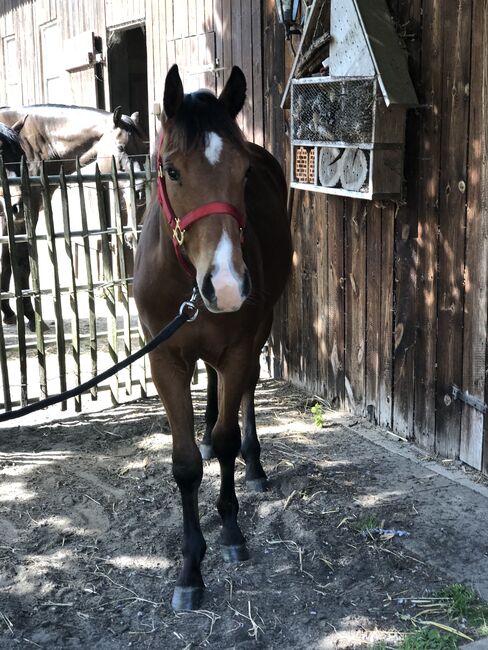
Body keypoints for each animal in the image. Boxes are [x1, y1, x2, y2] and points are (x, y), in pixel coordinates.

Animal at [0, 105, 148, 330]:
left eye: (143, 147)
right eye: (121, 147)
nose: (139, 192)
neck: (37, 143)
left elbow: (7, 260)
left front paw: (8, 312)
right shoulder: (24, 214)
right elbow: (21, 261)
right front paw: (31, 316)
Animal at [133, 64, 292, 608]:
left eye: (243, 174)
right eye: (172, 170)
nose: (224, 285)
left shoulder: (239, 348)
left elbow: (226, 440)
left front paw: (231, 532)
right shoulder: (165, 361)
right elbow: (184, 465)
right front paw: (189, 570)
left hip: (259, 332)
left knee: (243, 392)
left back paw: (255, 464)